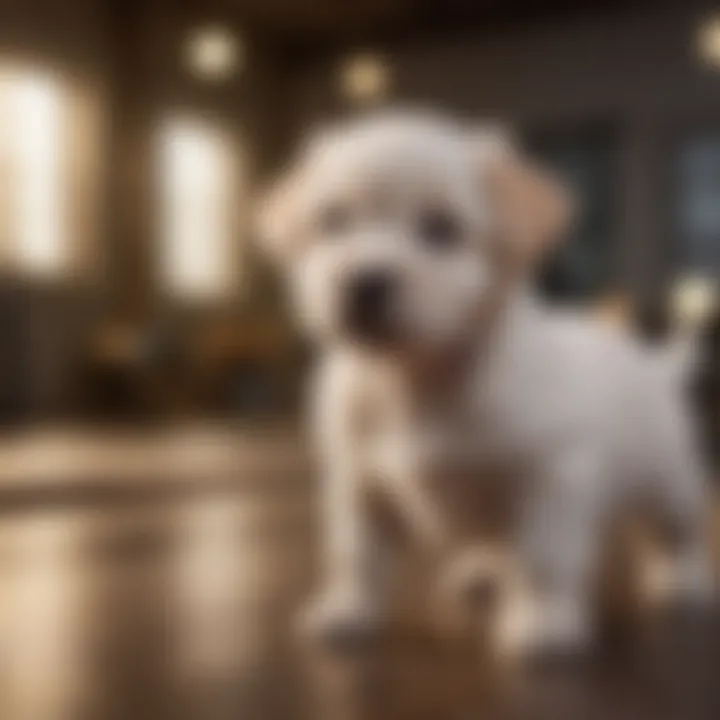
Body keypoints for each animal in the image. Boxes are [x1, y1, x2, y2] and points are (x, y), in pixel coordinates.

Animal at [256, 111, 712, 660]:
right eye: (333, 221)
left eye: (440, 228)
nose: (364, 283)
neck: (416, 378)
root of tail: (653, 366)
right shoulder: (359, 487)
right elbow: (356, 556)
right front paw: (349, 608)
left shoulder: (548, 477)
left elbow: (543, 556)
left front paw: (543, 621)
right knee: (496, 541)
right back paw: (485, 571)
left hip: (669, 479)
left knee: (677, 532)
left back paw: (682, 581)